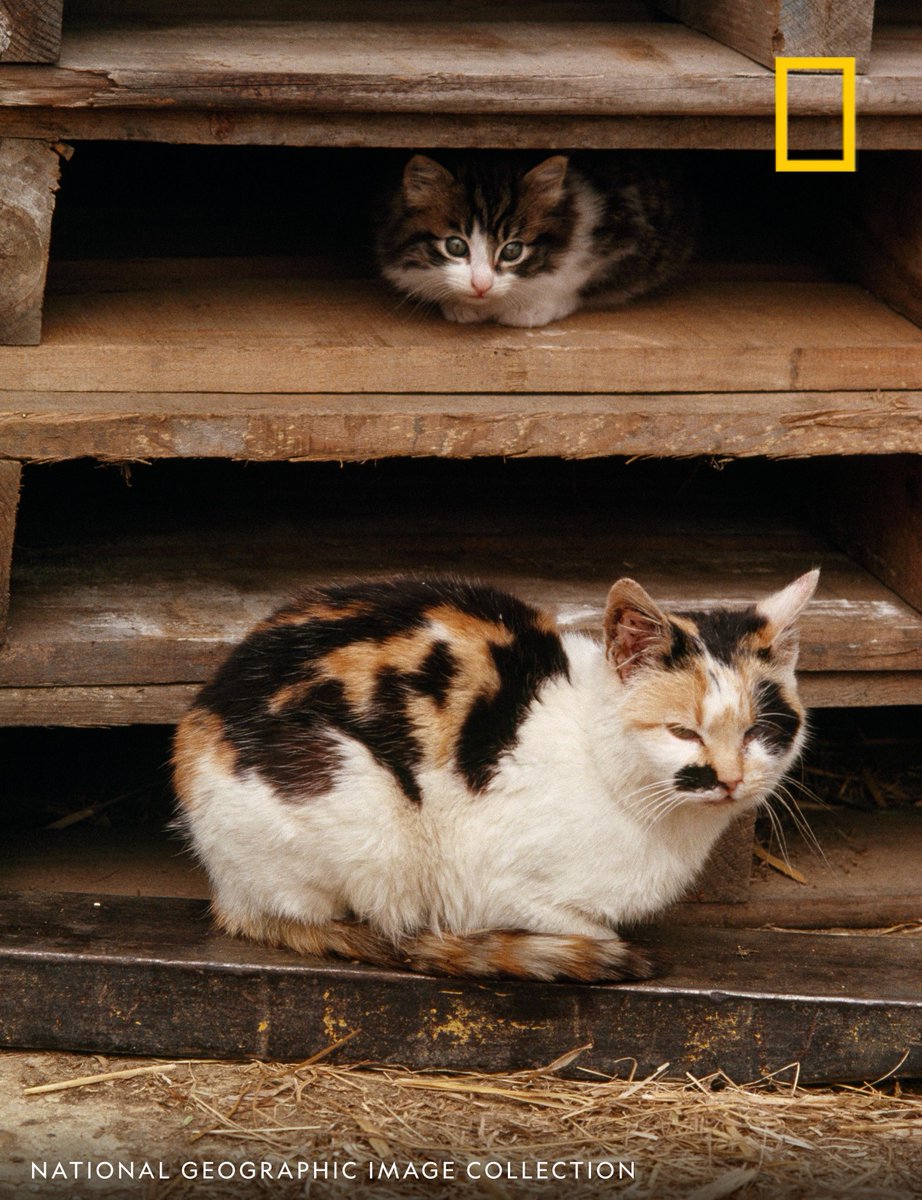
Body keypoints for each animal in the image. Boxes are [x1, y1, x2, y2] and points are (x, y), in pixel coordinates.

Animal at [170, 571, 816, 984]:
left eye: (758, 731)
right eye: (683, 732)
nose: (729, 779)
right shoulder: (487, 882)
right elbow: (588, 928)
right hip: (360, 810)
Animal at [379, 154, 696, 333]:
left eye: (512, 250)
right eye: (456, 246)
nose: (481, 286)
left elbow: (576, 280)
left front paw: (535, 307)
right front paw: (460, 305)